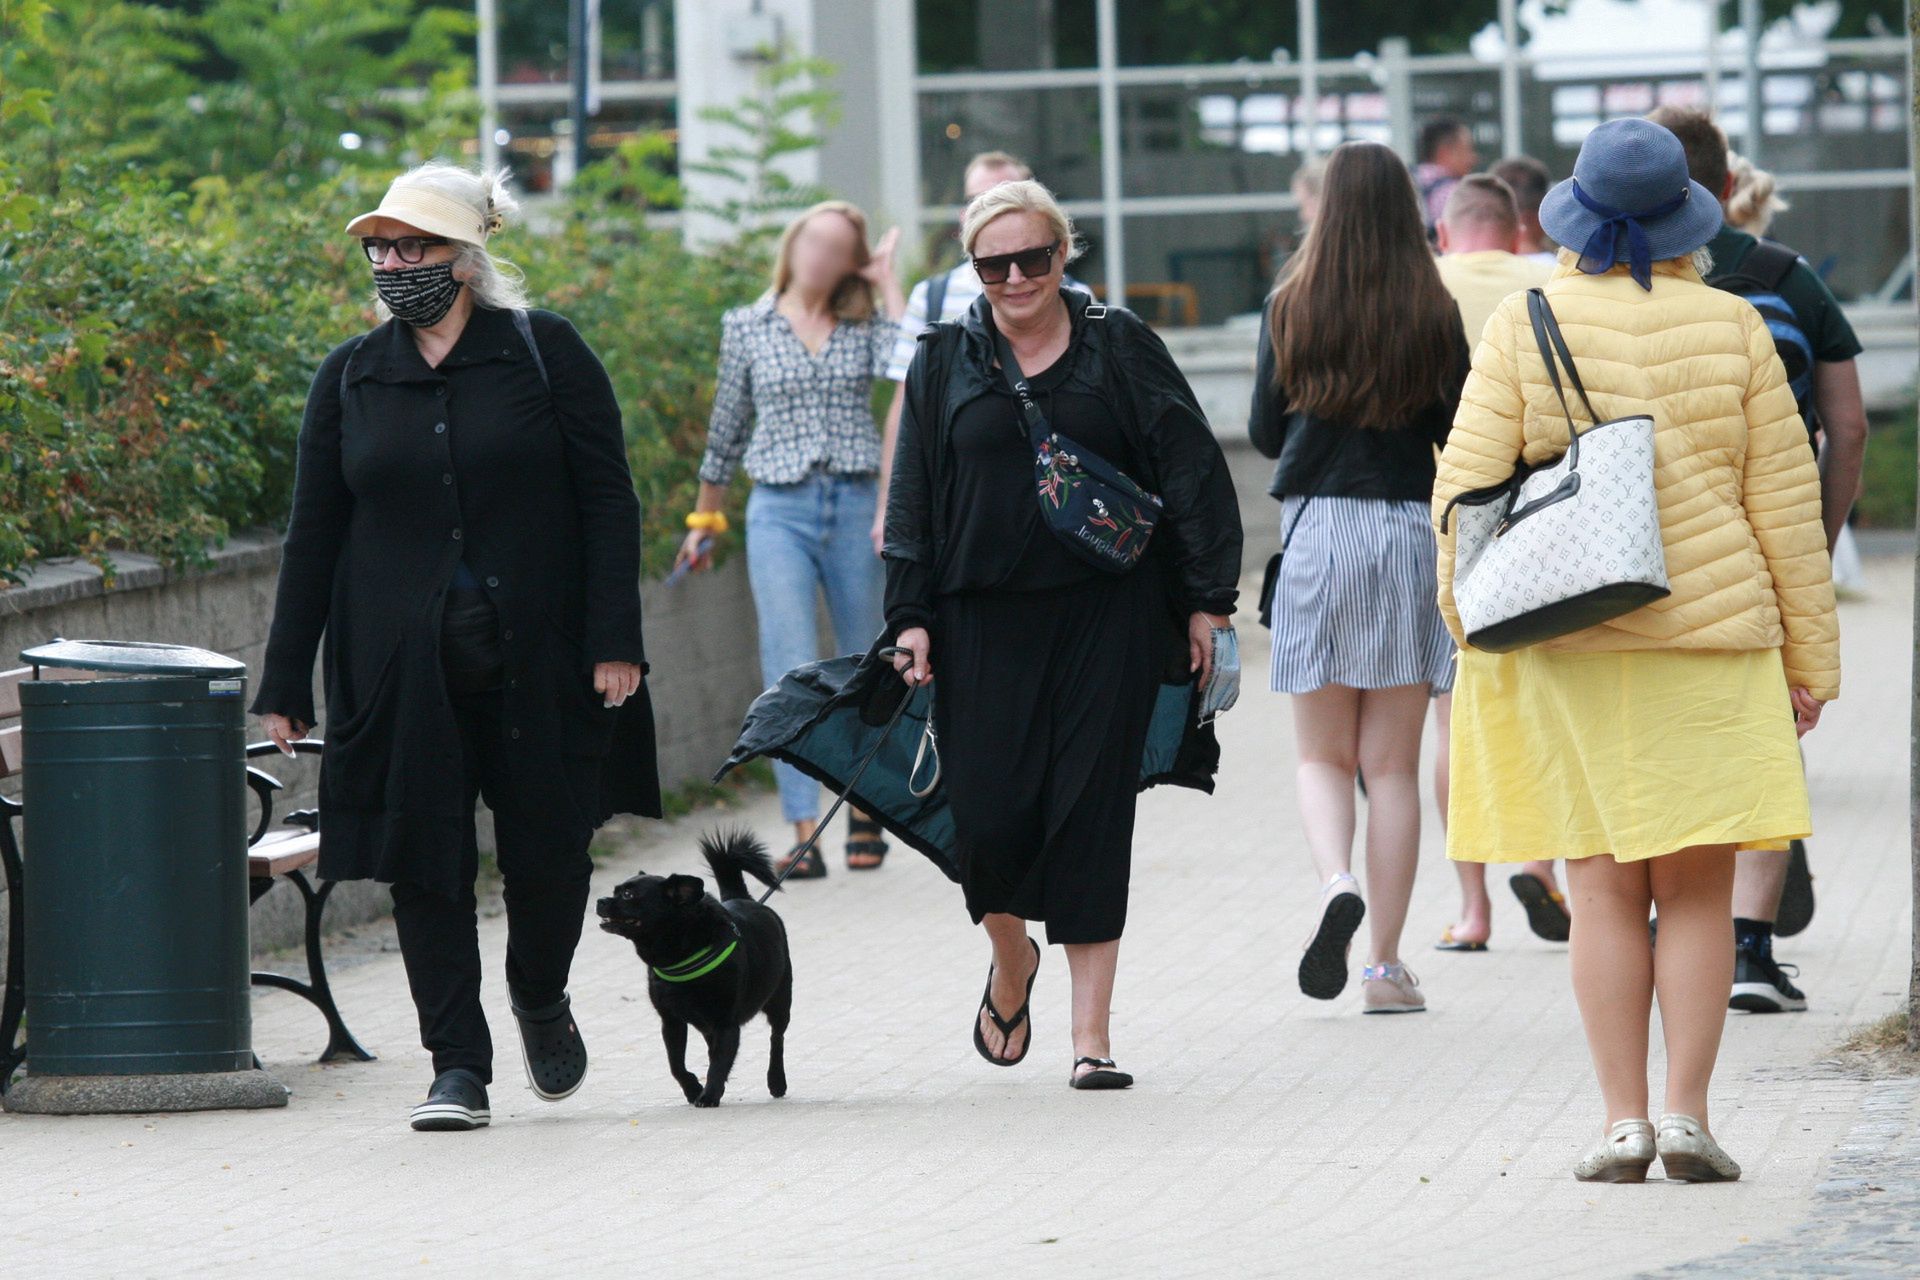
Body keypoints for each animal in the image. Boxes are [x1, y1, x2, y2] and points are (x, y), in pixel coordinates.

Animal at [591, 836, 787, 1105]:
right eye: (615, 891)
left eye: (629, 895)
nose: (600, 901)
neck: (679, 955)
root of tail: (743, 897)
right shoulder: (671, 1022)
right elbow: (676, 1064)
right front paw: (694, 1089)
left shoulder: (726, 1023)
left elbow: (718, 1063)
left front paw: (709, 1095)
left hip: (780, 1001)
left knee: (776, 1039)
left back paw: (776, 1080)